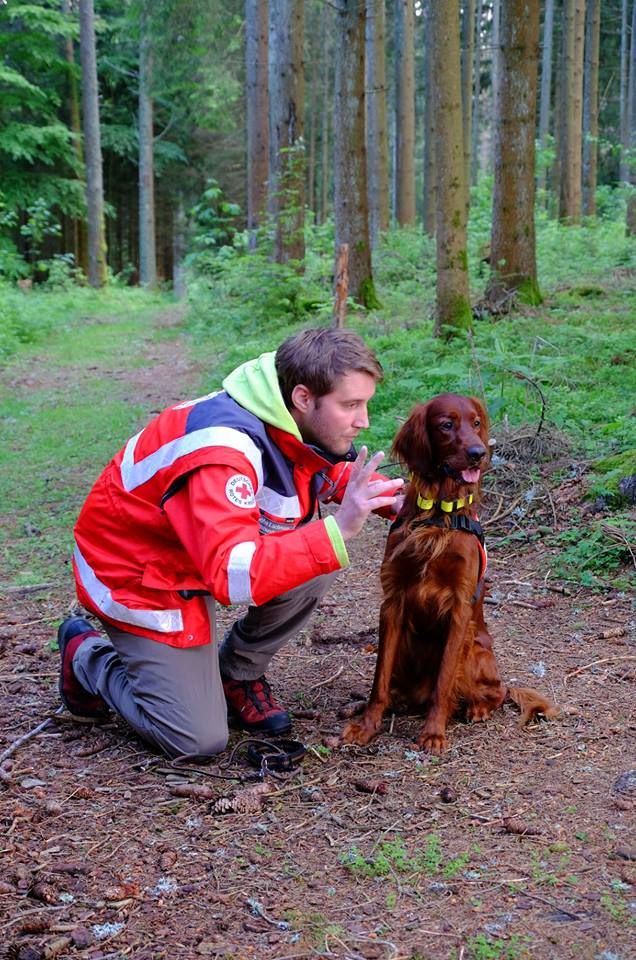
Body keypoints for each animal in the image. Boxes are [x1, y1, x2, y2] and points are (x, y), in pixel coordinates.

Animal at [342, 394, 556, 752]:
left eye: (476, 423)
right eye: (446, 425)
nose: (478, 454)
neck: (439, 515)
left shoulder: (459, 607)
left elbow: (443, 683)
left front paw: (433, 733)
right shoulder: (393, 601)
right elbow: (379, 679)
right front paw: (367, 726)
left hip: (475, 648)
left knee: (498, 691)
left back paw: (478, 708)